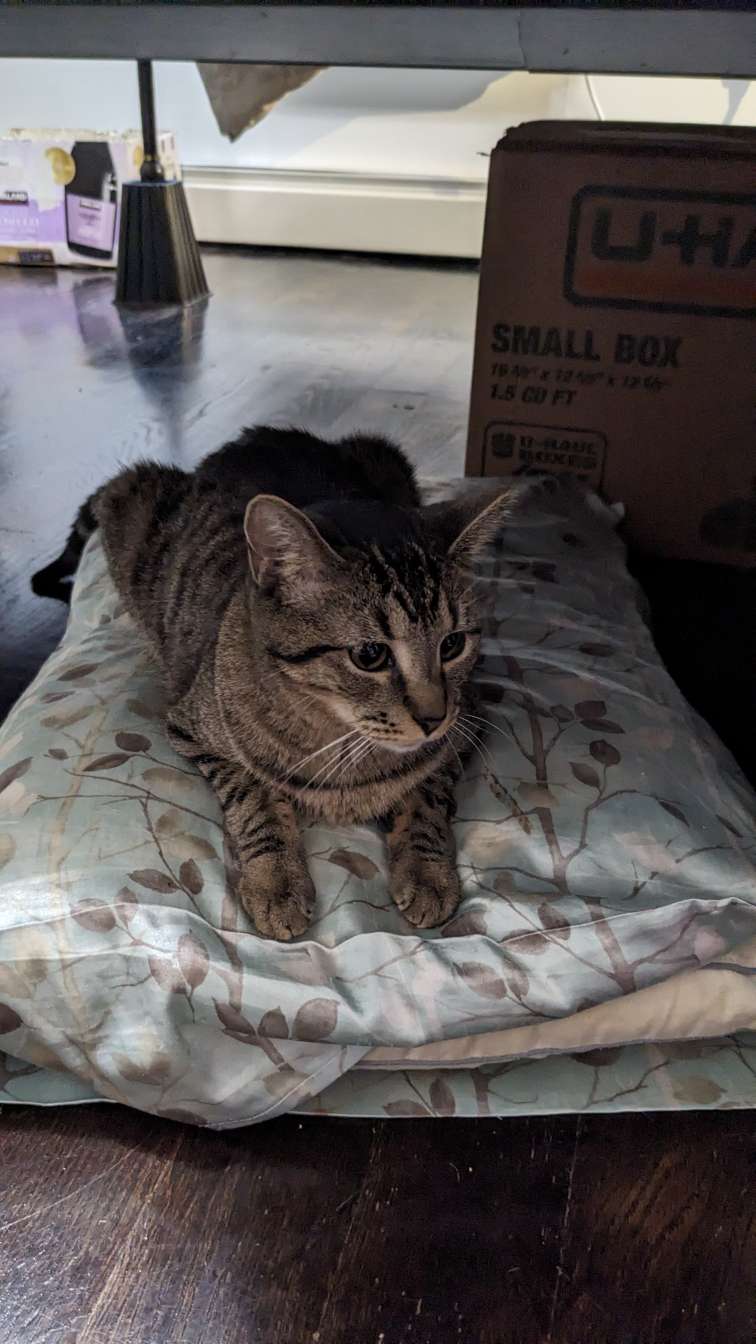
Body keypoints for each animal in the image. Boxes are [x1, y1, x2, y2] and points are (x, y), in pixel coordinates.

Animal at [33, 427, 515, 939]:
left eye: (452, 644)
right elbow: (255, 798)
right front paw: (276, 883)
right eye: (370, 655)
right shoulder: (194, 733)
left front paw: (427, 874)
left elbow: (426, 798)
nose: (433, 717)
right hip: (132, 499)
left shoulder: (467, 725)